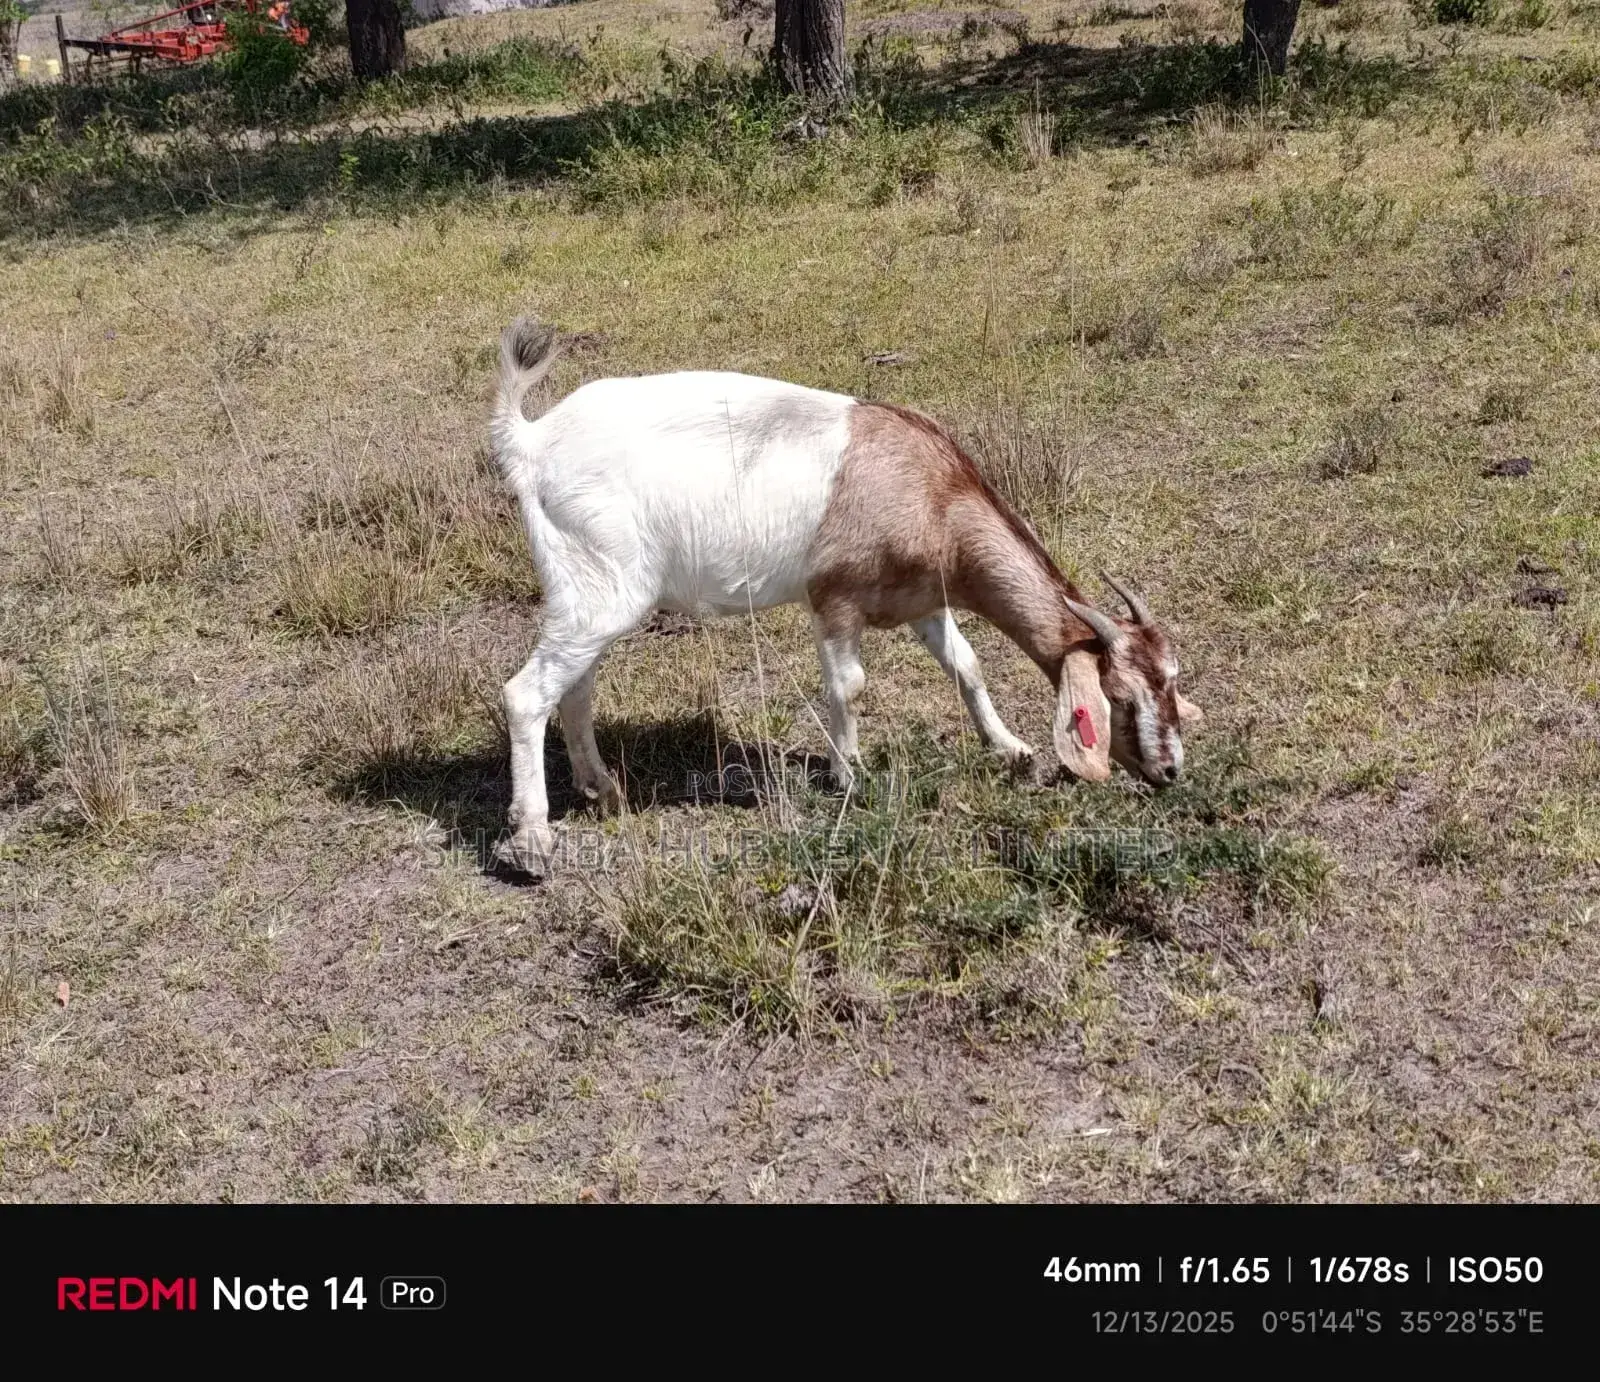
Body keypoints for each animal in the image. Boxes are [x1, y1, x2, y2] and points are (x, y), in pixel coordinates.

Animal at [487, 317, 1202, 875]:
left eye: (1171, 680)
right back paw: (533, 841)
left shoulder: (925, 602)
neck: (936, 497)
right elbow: (848, 685)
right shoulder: (835, 597)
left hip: (592, 596)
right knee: (525, 694)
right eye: (1119, 696)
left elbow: (967, 666)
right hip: (599, 588)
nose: (1171, 771)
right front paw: (850, 774)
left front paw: (1010, 748)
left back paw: (602, 789)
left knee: (574, 687)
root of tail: (531, 440)